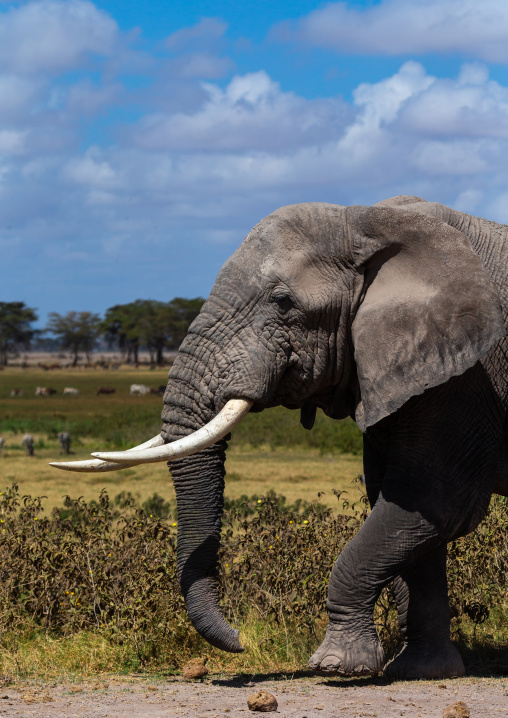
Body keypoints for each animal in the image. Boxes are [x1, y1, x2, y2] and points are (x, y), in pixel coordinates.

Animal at [52, 195, 508, 680]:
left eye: (283, 303)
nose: (240, 641)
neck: (365, 220)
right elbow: (406, 508)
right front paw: (421, 670)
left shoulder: (467, 374)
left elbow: (438, 500)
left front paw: (336, 667)